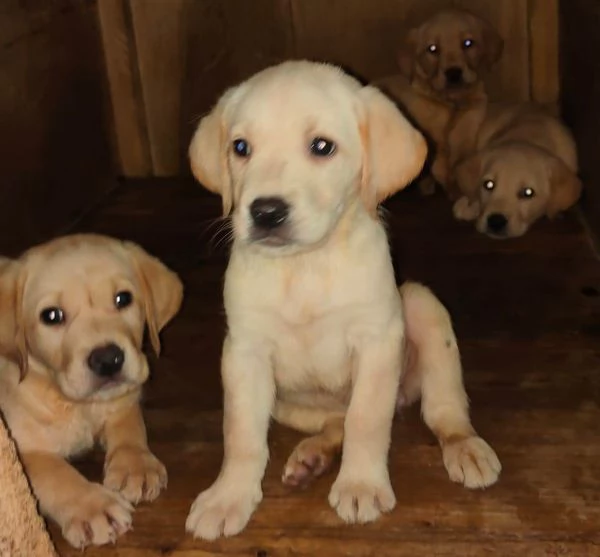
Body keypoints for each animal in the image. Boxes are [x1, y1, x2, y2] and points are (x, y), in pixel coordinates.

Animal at [0, 233, 183, 548]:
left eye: (123, 298)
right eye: (51, 316)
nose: (108, 360)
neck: (77, 404)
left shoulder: (124, 398)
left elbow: (130, 425)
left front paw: (135, 464)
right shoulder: (20, 447)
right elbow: (54, 473)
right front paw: (92, 508)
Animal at [186, 59, 502, 540]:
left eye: (322, 147)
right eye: (240, 147)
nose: (266, 212)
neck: (305, 267)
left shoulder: (377, 341)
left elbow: (366, 420)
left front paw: (361, 484)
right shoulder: (244, 352)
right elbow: (241, 434)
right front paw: (229, 495)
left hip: (421, 308)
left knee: (443, 409)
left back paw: (464, 446)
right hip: (290, 405)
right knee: (335, 420)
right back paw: (311, 457)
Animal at [376, 8, 502, 190]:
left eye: (468, 43)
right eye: (433, 48)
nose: (453, 73)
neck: (451, 102)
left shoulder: (475, 108)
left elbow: (462, 139)